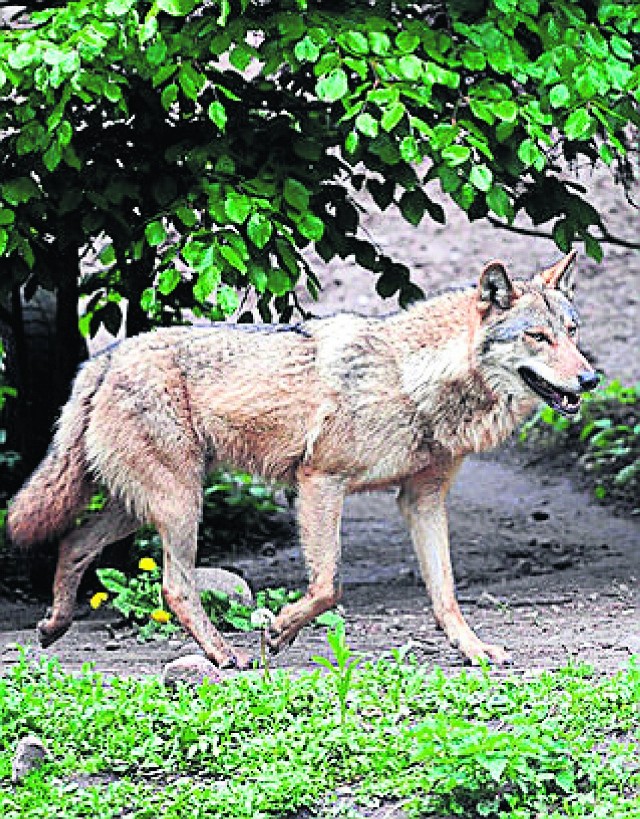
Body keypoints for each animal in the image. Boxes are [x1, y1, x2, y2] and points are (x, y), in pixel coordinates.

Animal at [8, 253, 600, 668]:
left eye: (572, 333)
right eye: (537, 337)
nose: (590, 379)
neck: (413, 379)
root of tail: (106, 357)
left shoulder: (423, 500)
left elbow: (446, 594)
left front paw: (475, 651)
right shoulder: (320, 482)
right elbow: (327, 586)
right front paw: (278, 631)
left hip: (140, 506)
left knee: (73, 544)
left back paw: (53, 626)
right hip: (179, 505)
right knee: (173, 585)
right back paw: (223, 655)